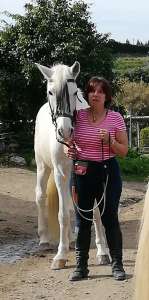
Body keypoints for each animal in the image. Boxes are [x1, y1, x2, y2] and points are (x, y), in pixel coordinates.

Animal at [34, 61, 109, 270]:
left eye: (75, 92)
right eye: (50, 92)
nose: (65, 131)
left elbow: (95, 212)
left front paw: (102, 251)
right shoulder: (60, 173)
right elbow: (62, 214)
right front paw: (60, 255)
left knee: (69, 204)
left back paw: (71, 239)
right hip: (43, 167)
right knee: (41, 197)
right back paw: (45, 239)